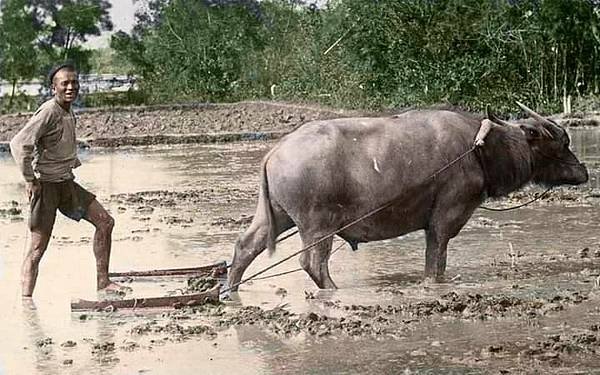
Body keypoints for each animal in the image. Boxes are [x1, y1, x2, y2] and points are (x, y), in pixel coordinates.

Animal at [227, 103, 588, 290]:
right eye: (561, 143)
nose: (583, 171)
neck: (479, 148)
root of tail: (275, 151)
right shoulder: (446, 216)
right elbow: (436, 259)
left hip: (275, 215)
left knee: (245, 246)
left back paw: (229, 291)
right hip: (317, 226)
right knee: (313, 263)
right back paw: (333, 290)